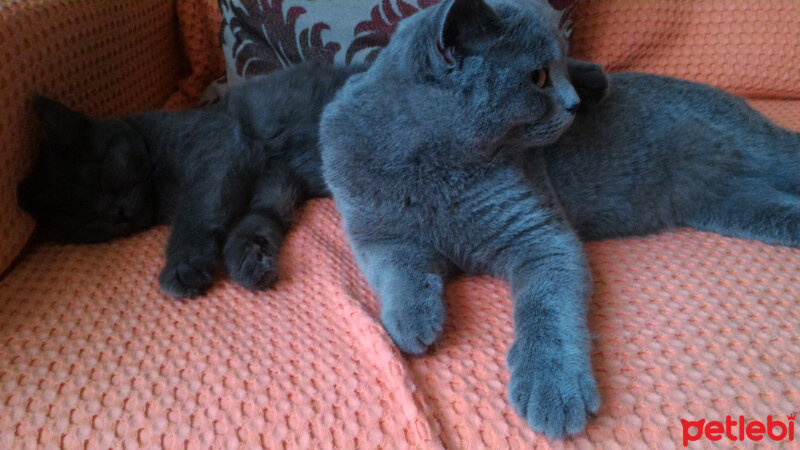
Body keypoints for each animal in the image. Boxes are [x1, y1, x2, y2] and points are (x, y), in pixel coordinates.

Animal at [318, 0, 792, 440]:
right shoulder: (374, 232)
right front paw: (411, 322)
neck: (434, 164)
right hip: (733, 204)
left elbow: (547, 308)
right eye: (539, 77)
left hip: (760, 160)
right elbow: (400, 269)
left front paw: (553, 389)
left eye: (560, 68)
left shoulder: (540, 236)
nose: (574, 104)